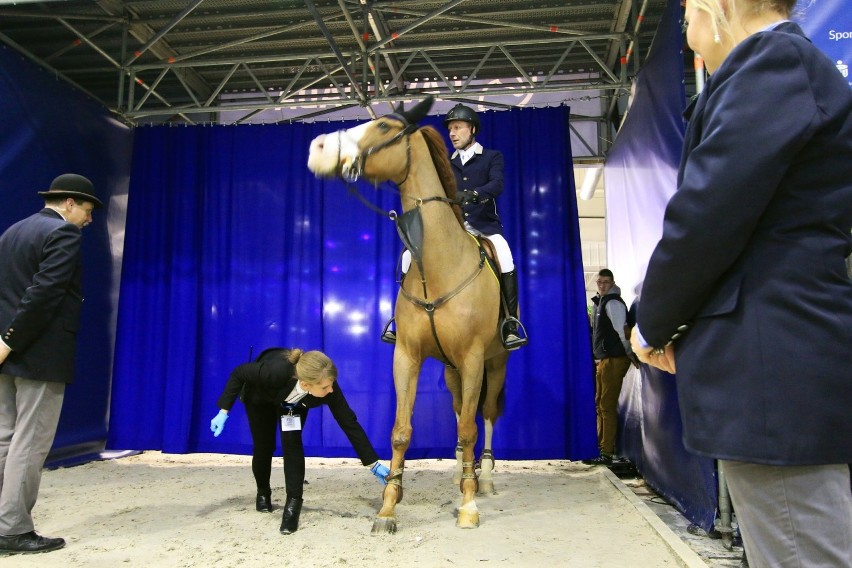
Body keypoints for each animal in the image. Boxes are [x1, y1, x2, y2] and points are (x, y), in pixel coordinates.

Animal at [306, 97, 506, 532]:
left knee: (484, 415)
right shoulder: (408, 356)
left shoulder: (473, 358)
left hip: (495, 362)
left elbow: (471, 428)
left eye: (383, 128)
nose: (318, 148)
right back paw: (461, 474)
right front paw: (388, 506)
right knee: (459, 413)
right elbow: (401, 431)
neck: (438, 263)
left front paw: (468, 506)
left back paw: (483, 479)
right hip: (450, 370)